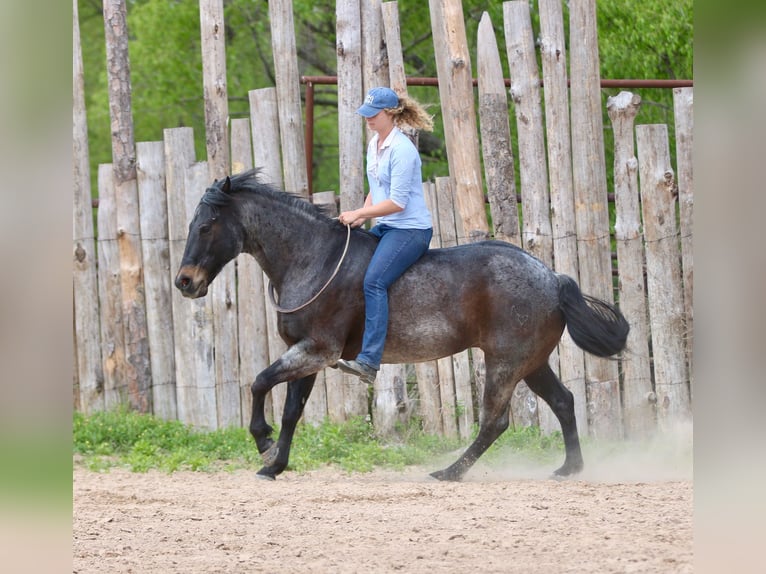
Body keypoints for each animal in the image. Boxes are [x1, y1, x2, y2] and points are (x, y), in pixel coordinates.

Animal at [175, 169, 629, 481]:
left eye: (206, 225)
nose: (185, 282)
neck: (313, 258)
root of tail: (552, 278)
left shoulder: (317, 350)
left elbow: (258, 383)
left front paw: (264, 444)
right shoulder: (308, 355)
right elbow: (290, 412)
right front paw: (274, 464)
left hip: (505, 362)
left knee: (495, 421)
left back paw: (449, 472)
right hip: (531, 362)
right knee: (563, 402)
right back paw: (569, 468)